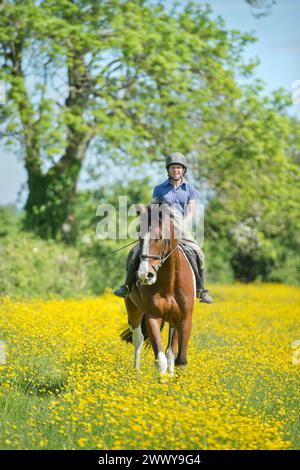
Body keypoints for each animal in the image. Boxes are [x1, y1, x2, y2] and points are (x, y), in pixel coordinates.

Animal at [120, 202, 196, 374]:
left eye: (160, 237)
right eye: (140, 236)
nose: (143, 275)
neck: (169, 283)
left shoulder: (184, 319)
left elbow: (179, 359)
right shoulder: (153, 317)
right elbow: (160, 360)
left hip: (172, 320)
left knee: (170, 352)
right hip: (134, 311)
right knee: (138, 339)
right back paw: (136, 374)